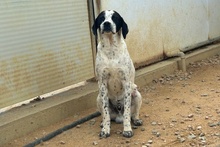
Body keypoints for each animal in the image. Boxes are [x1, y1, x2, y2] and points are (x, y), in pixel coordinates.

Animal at [92, 10, 143, 138]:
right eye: (101, 18)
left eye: (114, 18)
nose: (106, 23)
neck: (111, 49)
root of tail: (118, 116)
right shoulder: (103, 84)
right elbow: (105, 113)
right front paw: (105, 130)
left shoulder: (126, 83)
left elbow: (127, 113)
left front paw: (127, 130)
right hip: (98, 98)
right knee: (107, 116)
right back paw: (103, 123)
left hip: (137, 94)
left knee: (132, 114)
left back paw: (136, 120)